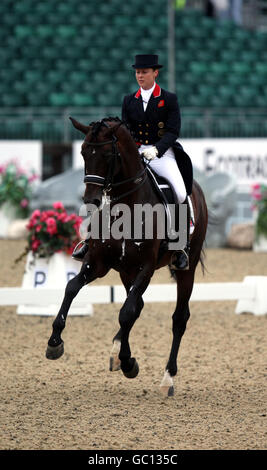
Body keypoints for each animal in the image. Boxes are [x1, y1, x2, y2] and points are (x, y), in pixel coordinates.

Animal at [46, 116, 209, 396]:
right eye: (83, 152)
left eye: (107, 154)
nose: (90, 199)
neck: (127, 207)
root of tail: (197, 190)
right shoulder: (97, 263)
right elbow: (72, 288)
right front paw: (55, 342)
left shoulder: (146, 267)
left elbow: (125, 313)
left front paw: (127, 361)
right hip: (125, 271)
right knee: (136, 305)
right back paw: (119, 351)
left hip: (185, 269)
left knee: (178, 318)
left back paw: (167, 378)